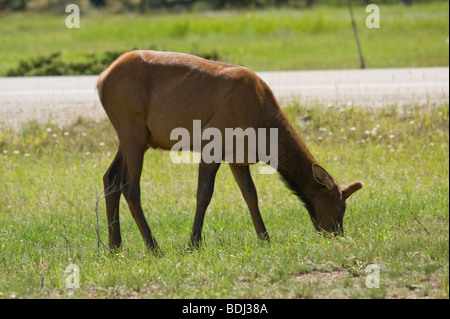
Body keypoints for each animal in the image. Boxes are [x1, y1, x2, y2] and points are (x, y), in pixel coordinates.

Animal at [96, 50, 362, 251]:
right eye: (341, 207)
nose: (337, 235)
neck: (263, 136)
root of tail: (100, 80)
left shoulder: (238, 158)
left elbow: (251, 195)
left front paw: (265, 238)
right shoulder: (212, 144)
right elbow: (204, 194)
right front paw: (193, 243)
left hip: (132, 137)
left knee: (110, 178)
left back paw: (115, 247)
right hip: (132, 129)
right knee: (130, 186)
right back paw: (153, 247)